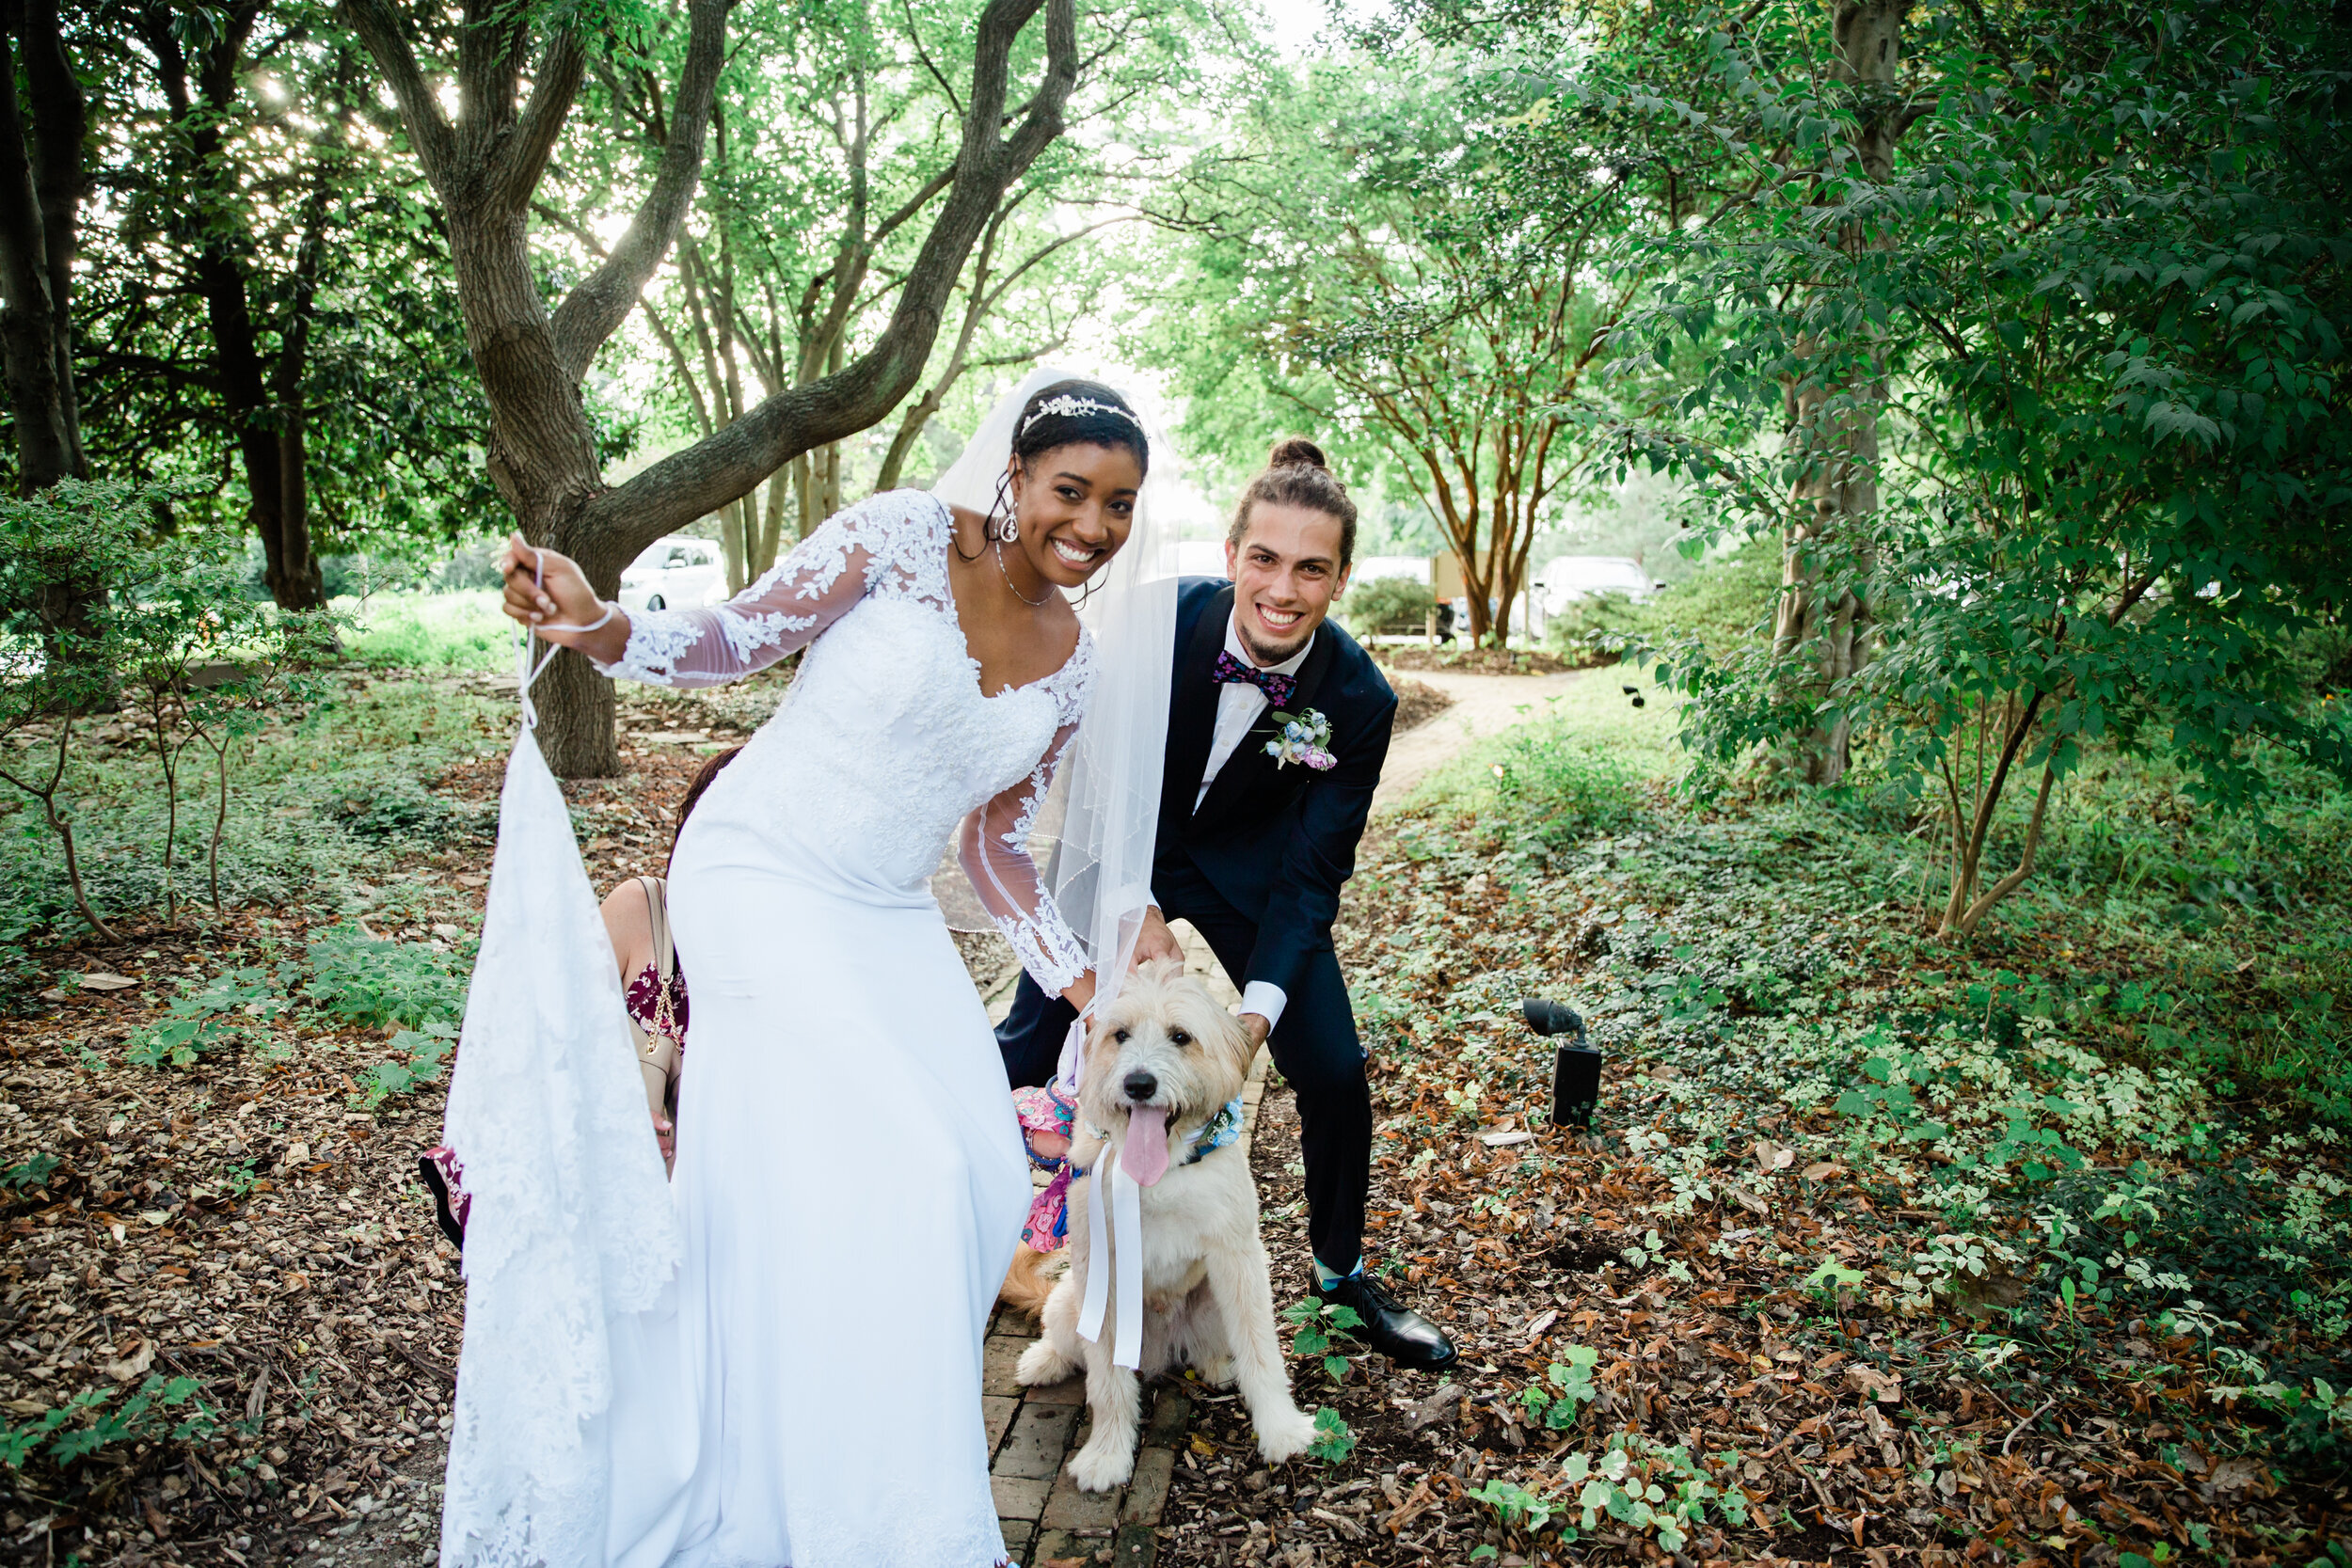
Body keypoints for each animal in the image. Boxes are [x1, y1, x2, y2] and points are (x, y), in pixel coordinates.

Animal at [1016, 958, 1327, 1495]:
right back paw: (1044, 1361)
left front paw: (1281, 1429)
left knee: (1217, 1348)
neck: (1159, 1173)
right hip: (1068, 1302)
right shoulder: (1102, 1272)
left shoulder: (1238, 1257)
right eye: (1119, 1035)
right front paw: (1107, 1455)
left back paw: (1219, 1367)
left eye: (1181, 1037)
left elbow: (1261, 1351)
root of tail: (1162, 1351)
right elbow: (1107, 1380)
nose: (1139, 1084)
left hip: (1214, 1302)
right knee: (1068, 1345)